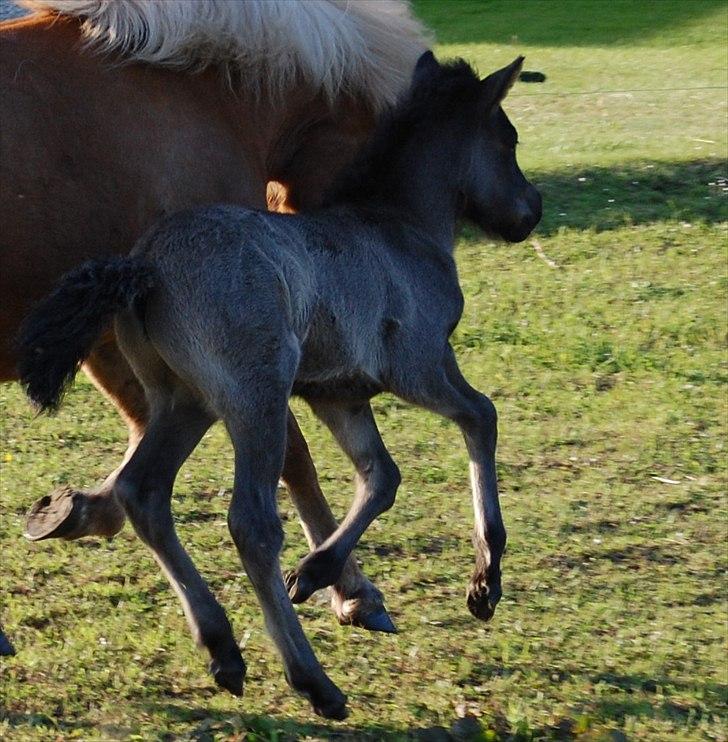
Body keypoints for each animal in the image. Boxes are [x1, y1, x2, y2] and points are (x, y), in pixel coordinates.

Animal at [0, 0, 430, 644]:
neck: (191, 94)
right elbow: (294, 458)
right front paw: (349, 588)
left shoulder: (110, 335)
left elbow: (143, 436)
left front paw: (79, 510)